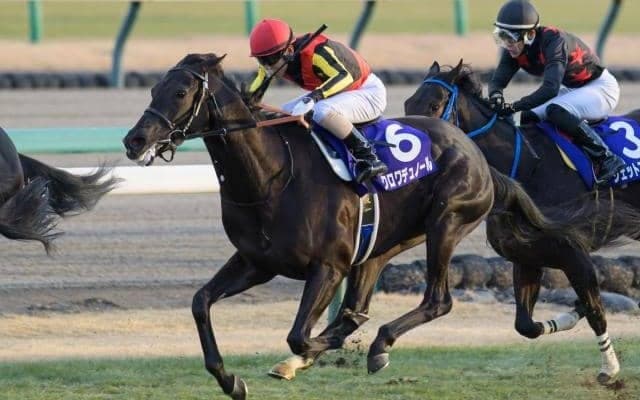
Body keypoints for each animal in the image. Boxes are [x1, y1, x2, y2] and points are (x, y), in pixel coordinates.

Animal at [122, 53, 593, 400]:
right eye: (153, 89)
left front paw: (311, 353)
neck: (272, 174)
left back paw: (379, 345)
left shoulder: (327, 266)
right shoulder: (257, 262)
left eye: (181, 91)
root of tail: (475, 153)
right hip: (380, 246)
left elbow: (300, 335)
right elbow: (201, 302)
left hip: (446, 222)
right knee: (361, 305)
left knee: (436, 300)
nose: (134, 140)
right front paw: (230, 379)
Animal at [405, 60, 640, 384]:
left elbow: (595, 310)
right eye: (407, 103)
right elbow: (526, 325)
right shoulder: (526, 255)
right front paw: (571, 313)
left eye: (435, 104)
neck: (527, 165)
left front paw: (609, 368)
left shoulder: (573, 251)